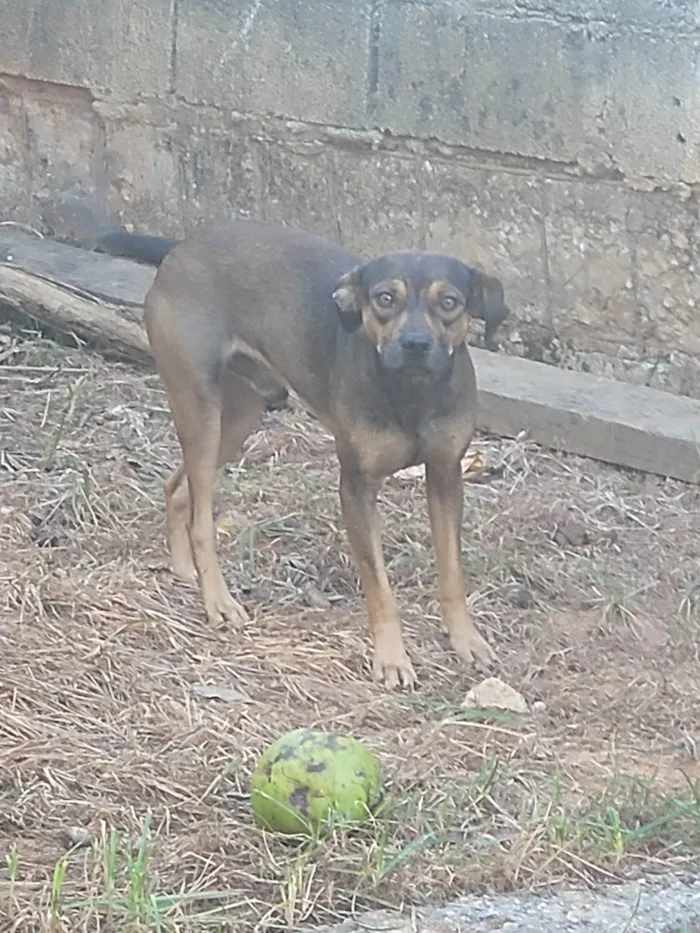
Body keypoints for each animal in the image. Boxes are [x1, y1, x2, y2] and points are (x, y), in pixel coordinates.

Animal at [97, 217, 508, 684]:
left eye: (450, 302)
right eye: (385, 298)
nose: (416, 344)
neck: (412, 395)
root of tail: (182, 247)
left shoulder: (446, 476)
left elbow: (452, 573)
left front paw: (466, 640)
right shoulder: (356, 488)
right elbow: (379, 587)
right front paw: (391, 658)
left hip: (238, 416)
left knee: (177, 487)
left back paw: (187, 570)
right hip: (199, 406)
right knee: (202, 520)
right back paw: (218, 601)